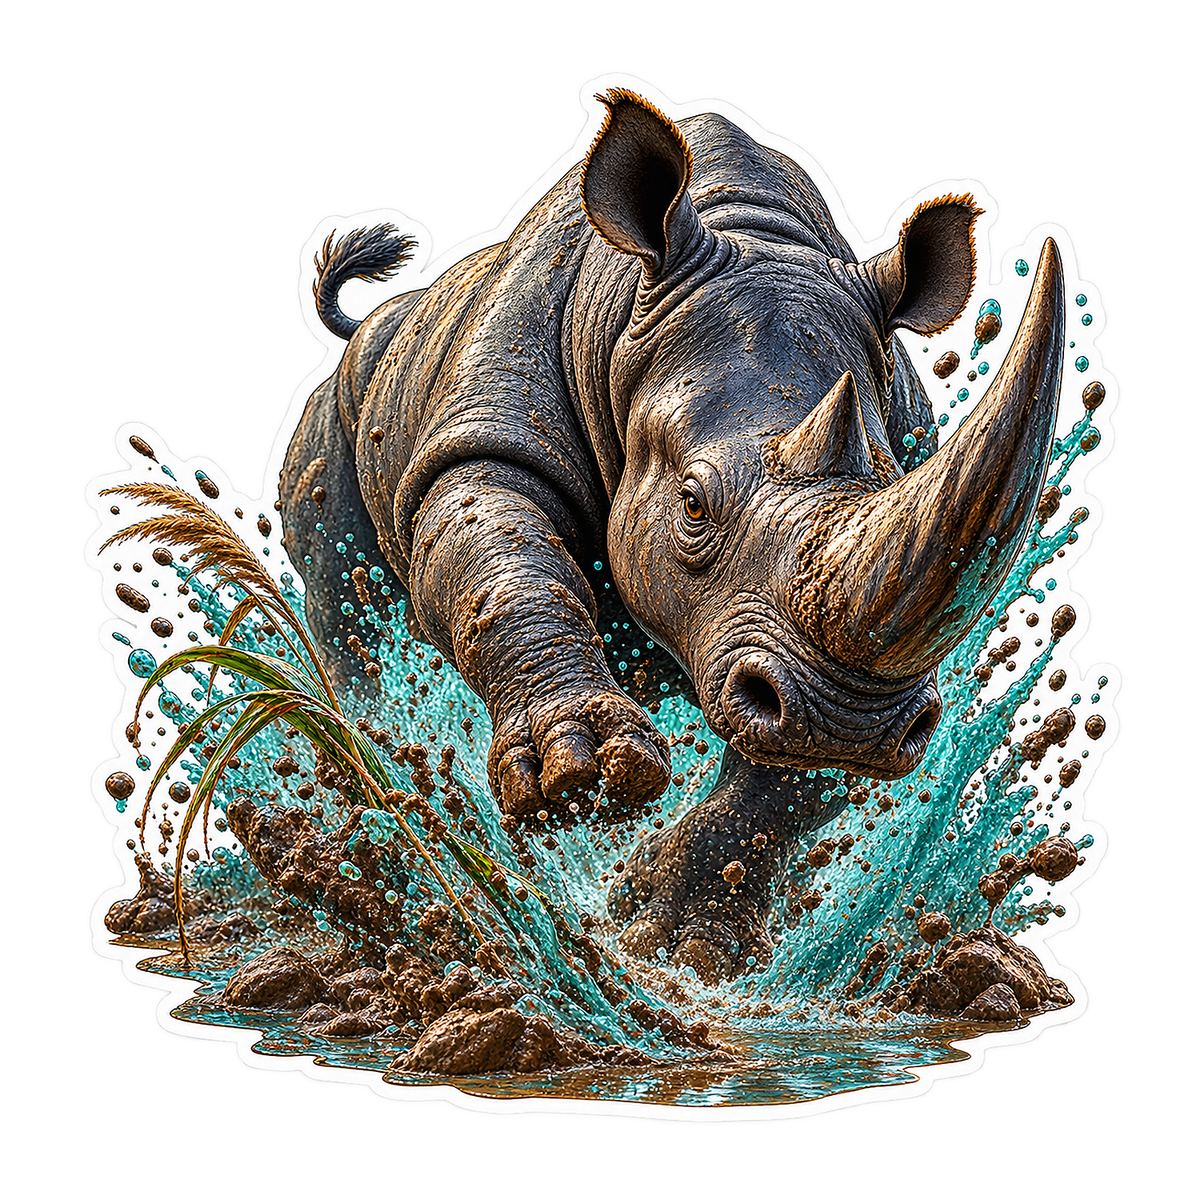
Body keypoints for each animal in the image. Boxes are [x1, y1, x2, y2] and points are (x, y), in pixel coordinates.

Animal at [280, 89, 1065, 982]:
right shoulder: (483, 439)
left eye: (892, 484)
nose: (851, 720)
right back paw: (369, 766)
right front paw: (579, 779)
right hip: (341, 406)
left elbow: (794, 778)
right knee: (351, 614)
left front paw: (679, 941)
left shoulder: (916, 593)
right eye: (692, 505)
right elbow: (500, 568)